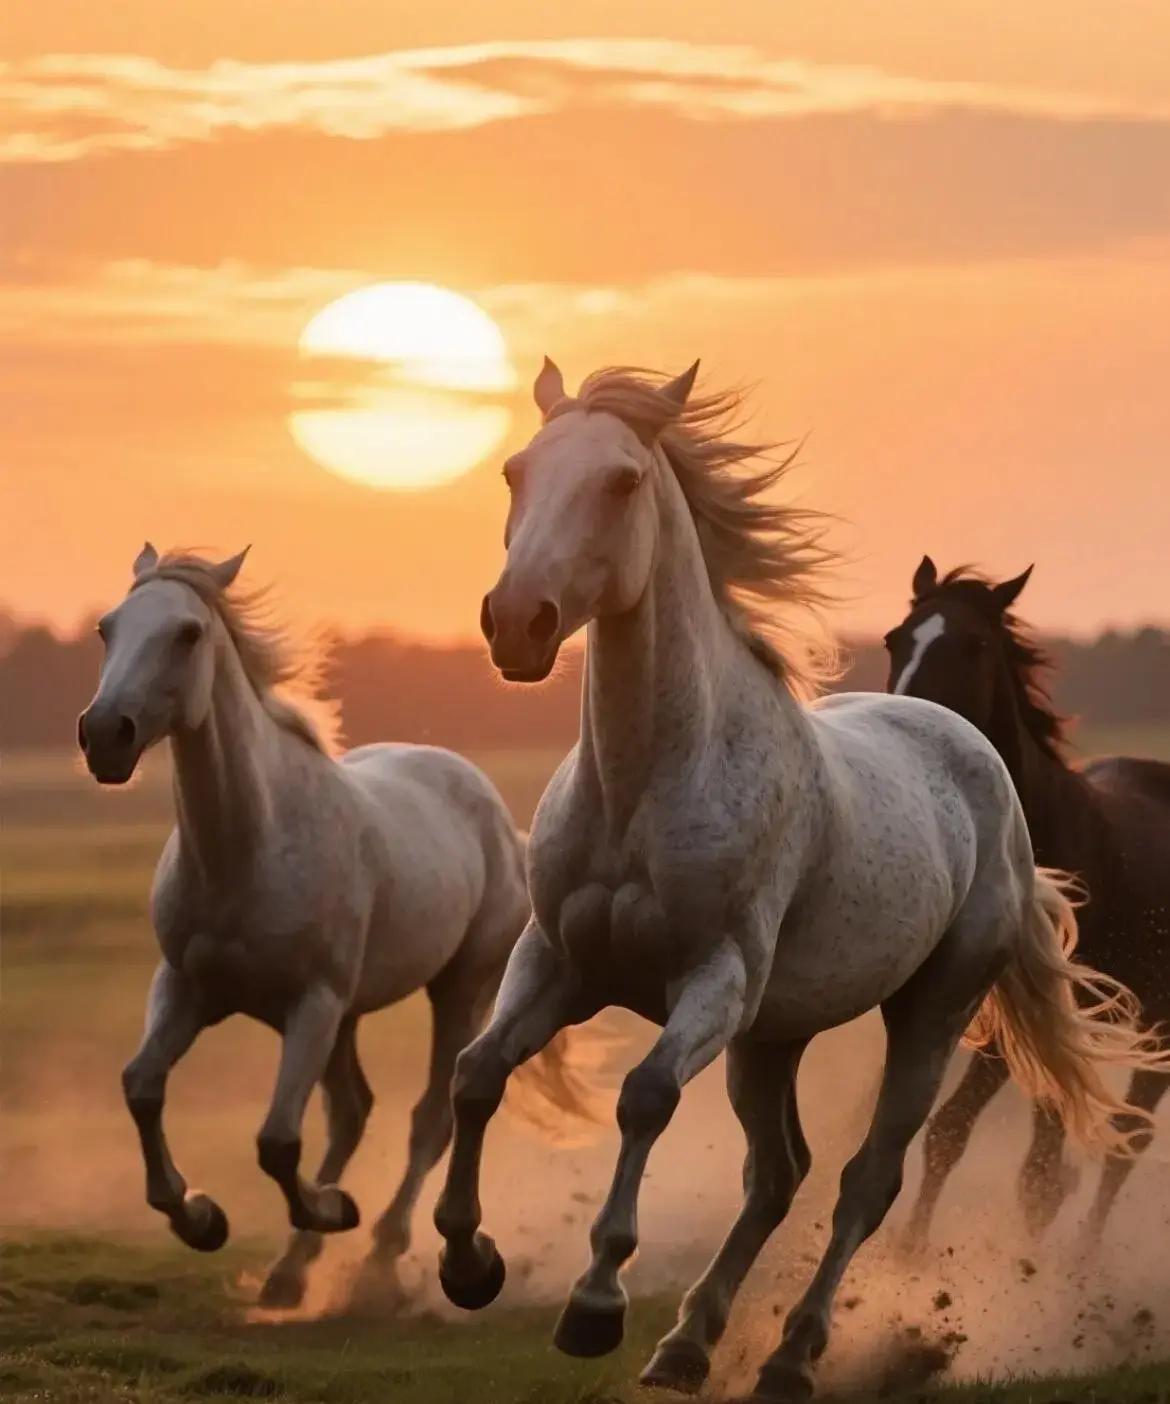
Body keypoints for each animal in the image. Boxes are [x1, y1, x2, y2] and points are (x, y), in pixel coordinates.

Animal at [78, 544, 586, 1310]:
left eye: (188, 634)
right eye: (108, 628)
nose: (105, 735)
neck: (246, 849)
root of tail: (502, 821)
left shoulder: (310, 1005)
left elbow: (277, 1142)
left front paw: (331, 1209)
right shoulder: (188, 990)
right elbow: (142, 1086)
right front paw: (201, 1219)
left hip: (457, 991)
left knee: (428, 1118)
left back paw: (381, 1256)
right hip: (348, 1015)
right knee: (353, 1110)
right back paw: (292, 1273)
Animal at [886, 556, 1170, 1249]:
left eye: (975, 644)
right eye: (895, 639)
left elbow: (956, 1130)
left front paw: (910, 1259)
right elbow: (949, 1133)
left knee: (1126, 1141)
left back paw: (1081, 1261)